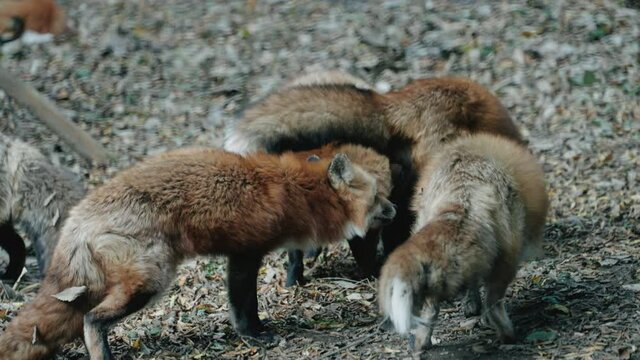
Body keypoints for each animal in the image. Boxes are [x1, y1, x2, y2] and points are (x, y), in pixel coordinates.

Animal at [378, 134, 548, 350]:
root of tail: (464, 191)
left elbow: (472, 283)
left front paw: (471, 304)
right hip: (508, 258)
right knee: (492, 303)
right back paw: (508, 336)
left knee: (430, 312)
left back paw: (423, 342)